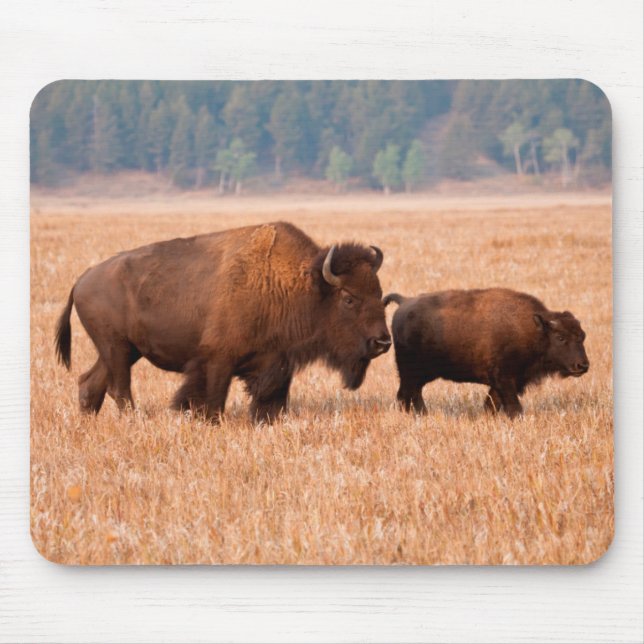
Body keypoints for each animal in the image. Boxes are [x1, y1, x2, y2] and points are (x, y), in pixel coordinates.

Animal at [55, 221, 391, 422]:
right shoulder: (218, 360)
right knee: (119, 388)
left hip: (123, 351)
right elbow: (213, 399)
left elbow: (272, 400)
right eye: (348, 298)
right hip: (117, 348)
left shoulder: (278, 361)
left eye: (379, 293)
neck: (299, 284)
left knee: (91, 383)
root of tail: (81, 280)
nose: (382, 342)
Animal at [383, 288, 589, 417]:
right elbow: (513, 407)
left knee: (410, 394)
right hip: (411, 372)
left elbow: (492, 404)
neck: (534, 329)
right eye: (560, 337)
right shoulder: (505, 379)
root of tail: (404, 302)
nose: (583, 365)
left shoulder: (505, 382)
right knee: (407, 394)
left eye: (582, 336)